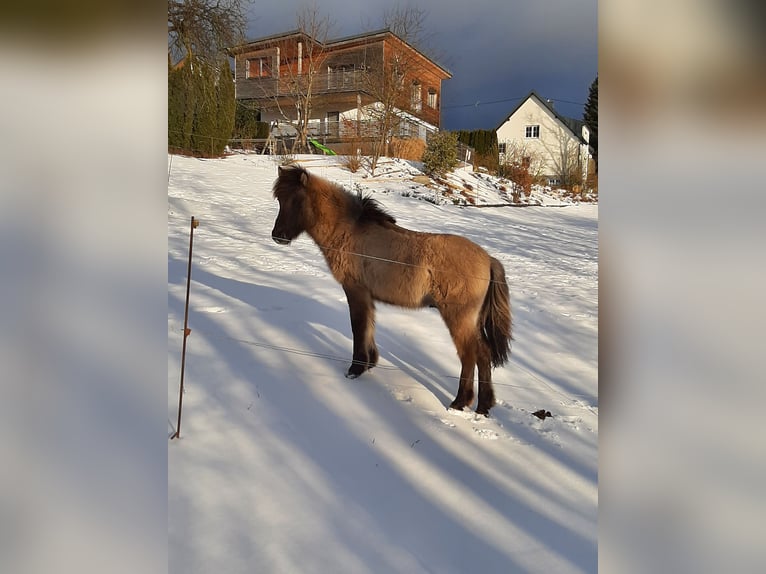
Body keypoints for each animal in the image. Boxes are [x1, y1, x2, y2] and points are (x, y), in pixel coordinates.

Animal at [272, 164, 512, 416]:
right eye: (279, 198)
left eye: (297, 200)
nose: (278, 236)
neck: (349, 231)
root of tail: (488, 259)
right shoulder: (367, 296)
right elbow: (368, 327)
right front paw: (369, 363)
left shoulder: (355, 291)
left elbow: (358, 327)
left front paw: (355, 369)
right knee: (483, 354)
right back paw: (483, 406)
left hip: (458, 318)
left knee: (469, 355)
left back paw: (459, 402)